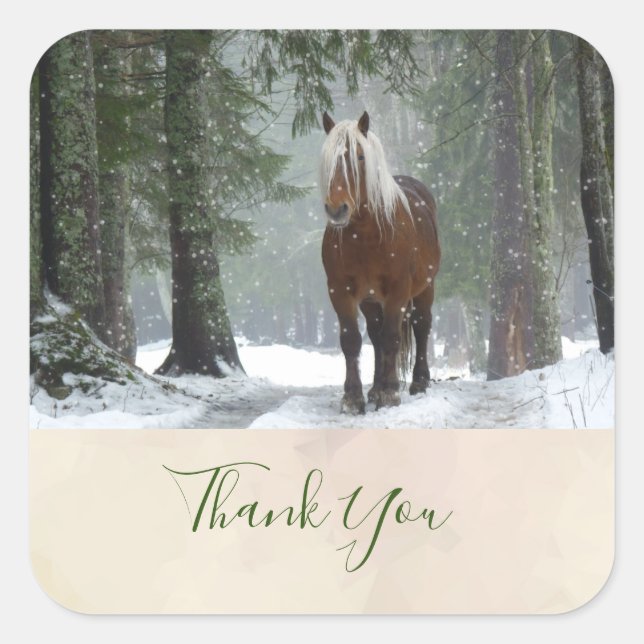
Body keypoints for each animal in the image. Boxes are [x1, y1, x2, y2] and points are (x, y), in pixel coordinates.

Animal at [320, 111, 440, 414]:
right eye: (327, 159)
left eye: (360, 157)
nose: (337, 209)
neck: (366, 235)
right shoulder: (340, 291)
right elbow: (352, 340)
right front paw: (353, 397)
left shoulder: (398, 291)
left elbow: (392, 338)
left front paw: (391, 393)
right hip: (370, 299)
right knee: (375, 336)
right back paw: (374, 388)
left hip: (425, 288)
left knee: (421, 326)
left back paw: (418, 382)